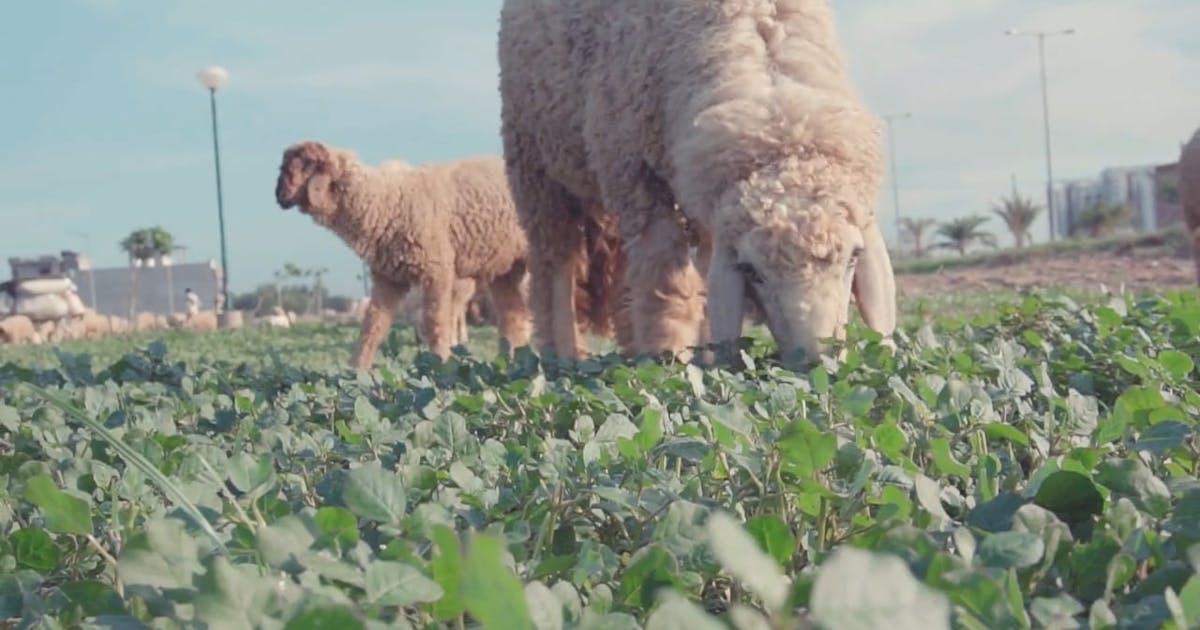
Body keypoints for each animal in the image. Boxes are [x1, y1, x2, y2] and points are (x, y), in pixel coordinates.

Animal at [275, 140, 542, 369]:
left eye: (305, 164)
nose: (279, 196)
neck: (382, 200)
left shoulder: (438, 270)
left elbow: (434, 324)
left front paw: (441, 365)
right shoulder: (388, 278)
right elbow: (372, 327)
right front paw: (355, 371)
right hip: (504, 267)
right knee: (514, 318)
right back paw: (511, 364)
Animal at [498, 0, 897, 365]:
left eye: (854, 256)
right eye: (751, 271)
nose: (819, 361)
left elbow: (703, 273)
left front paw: (706, 358)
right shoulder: (638, 177)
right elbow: (665, 281)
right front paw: (670, 360)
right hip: (535, 164)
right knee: (555, 266)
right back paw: (566, 358)